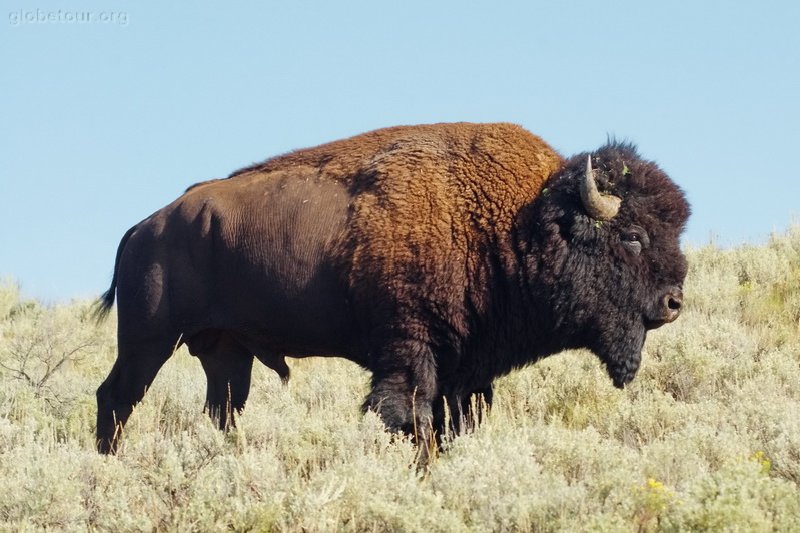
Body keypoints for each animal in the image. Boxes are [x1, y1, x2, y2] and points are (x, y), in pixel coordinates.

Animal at [97, 122, 692, 456]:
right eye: (633, 236)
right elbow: (409, 419)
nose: (673, 302)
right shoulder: (409, 351)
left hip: (226, 353)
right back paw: (109, 462)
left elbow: (453, 422)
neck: (515, 223)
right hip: (149, 340)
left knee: (221, 410)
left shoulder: (465, 370)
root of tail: (143, 228)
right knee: (117, 397)